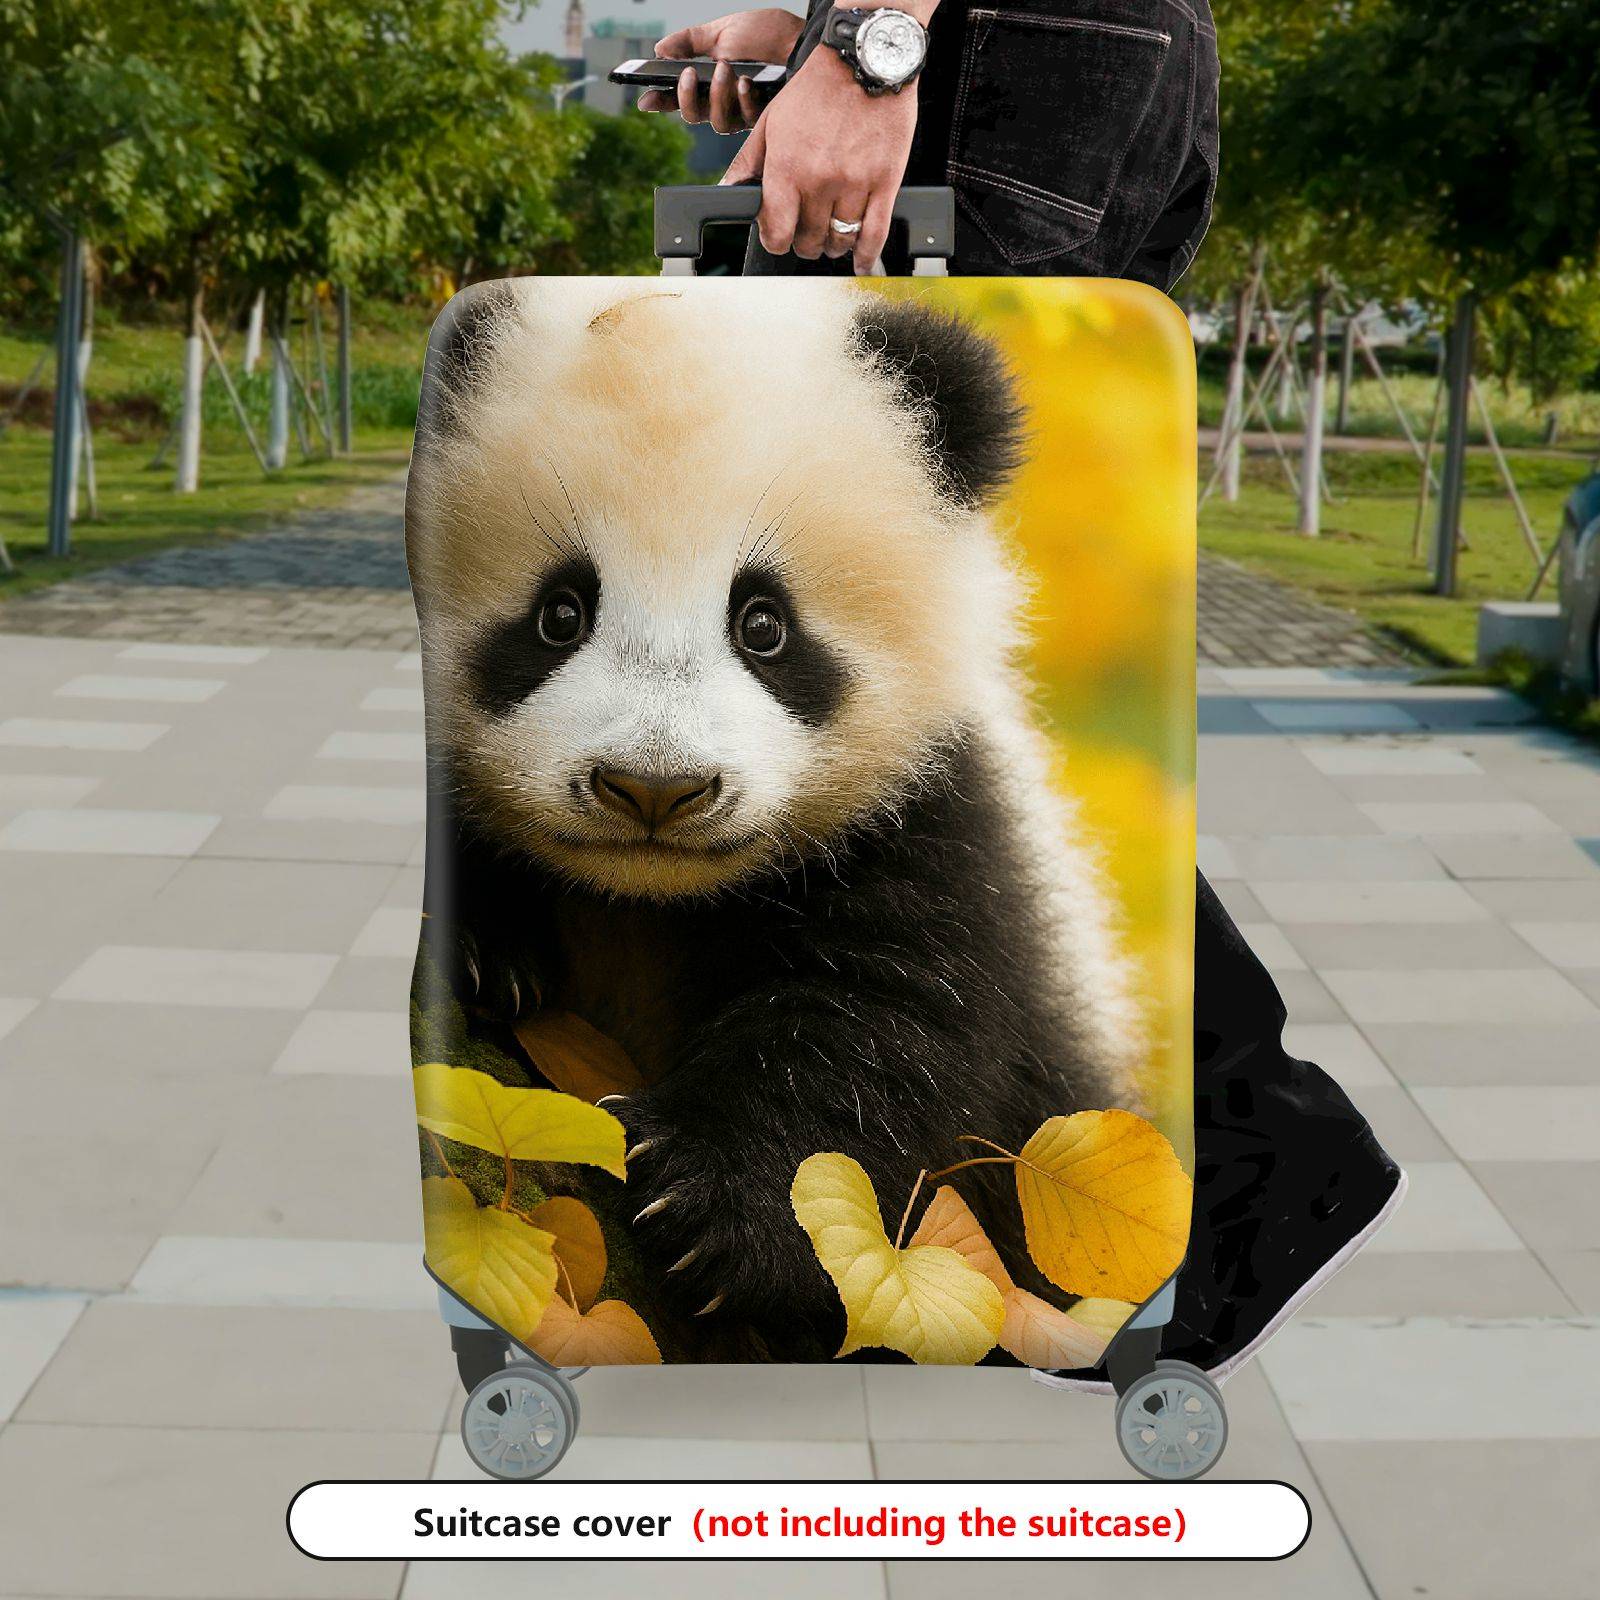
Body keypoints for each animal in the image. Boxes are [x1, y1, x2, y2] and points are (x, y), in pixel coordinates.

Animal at [406, 277, 1142, 1350]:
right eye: (559, 613)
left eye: (764, 625)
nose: (654, 788)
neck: (643, 898)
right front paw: (482, 953)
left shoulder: (932, 825)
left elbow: (883, 1027)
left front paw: (709, 1206)